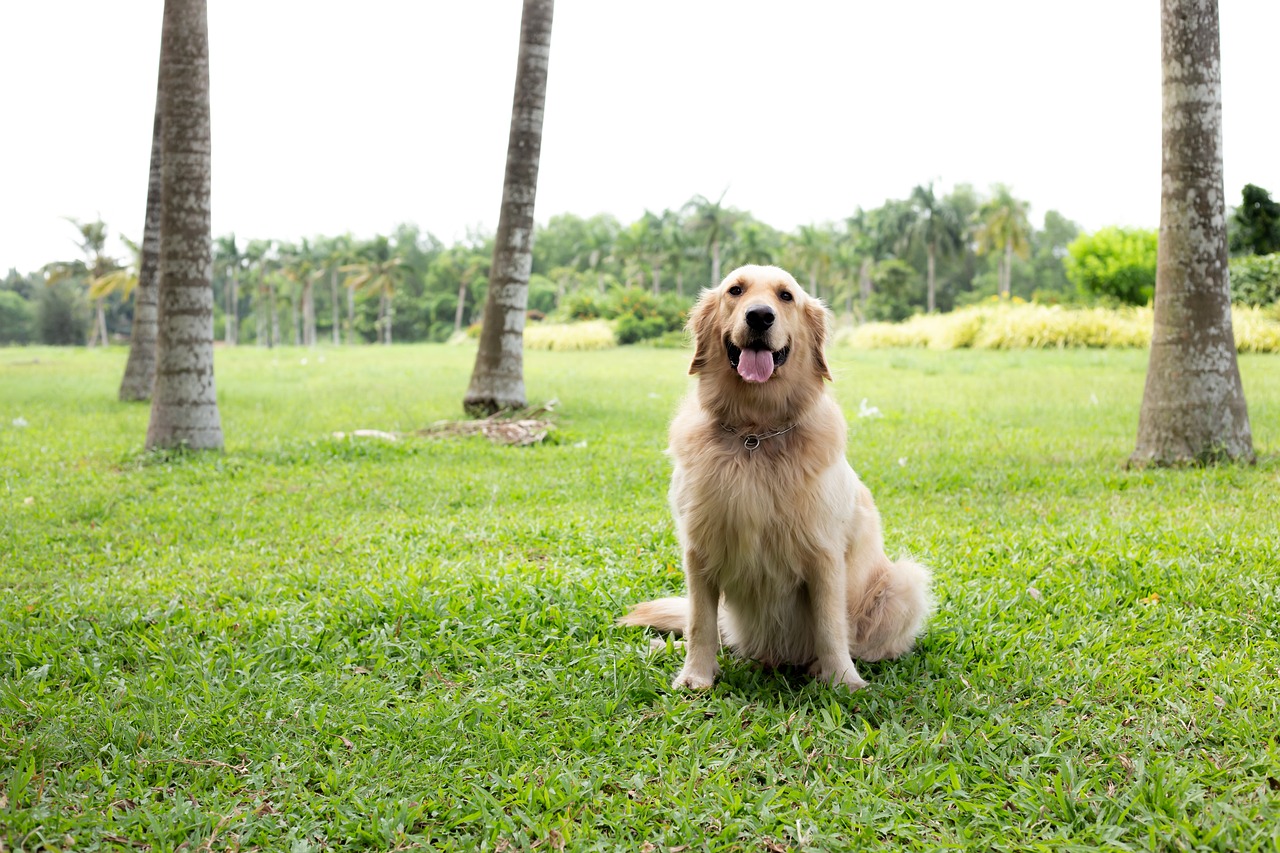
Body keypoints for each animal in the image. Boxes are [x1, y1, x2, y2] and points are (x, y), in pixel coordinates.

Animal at [619, 262, 931, 686]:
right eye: (735, 290)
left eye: (786, 296)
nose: (760, 316)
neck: (755, 434)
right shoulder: (698, 549)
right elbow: (700, 622)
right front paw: (696, 676)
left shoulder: (824, 554)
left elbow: (830, 626)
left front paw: (843, 681)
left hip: (904, 582)